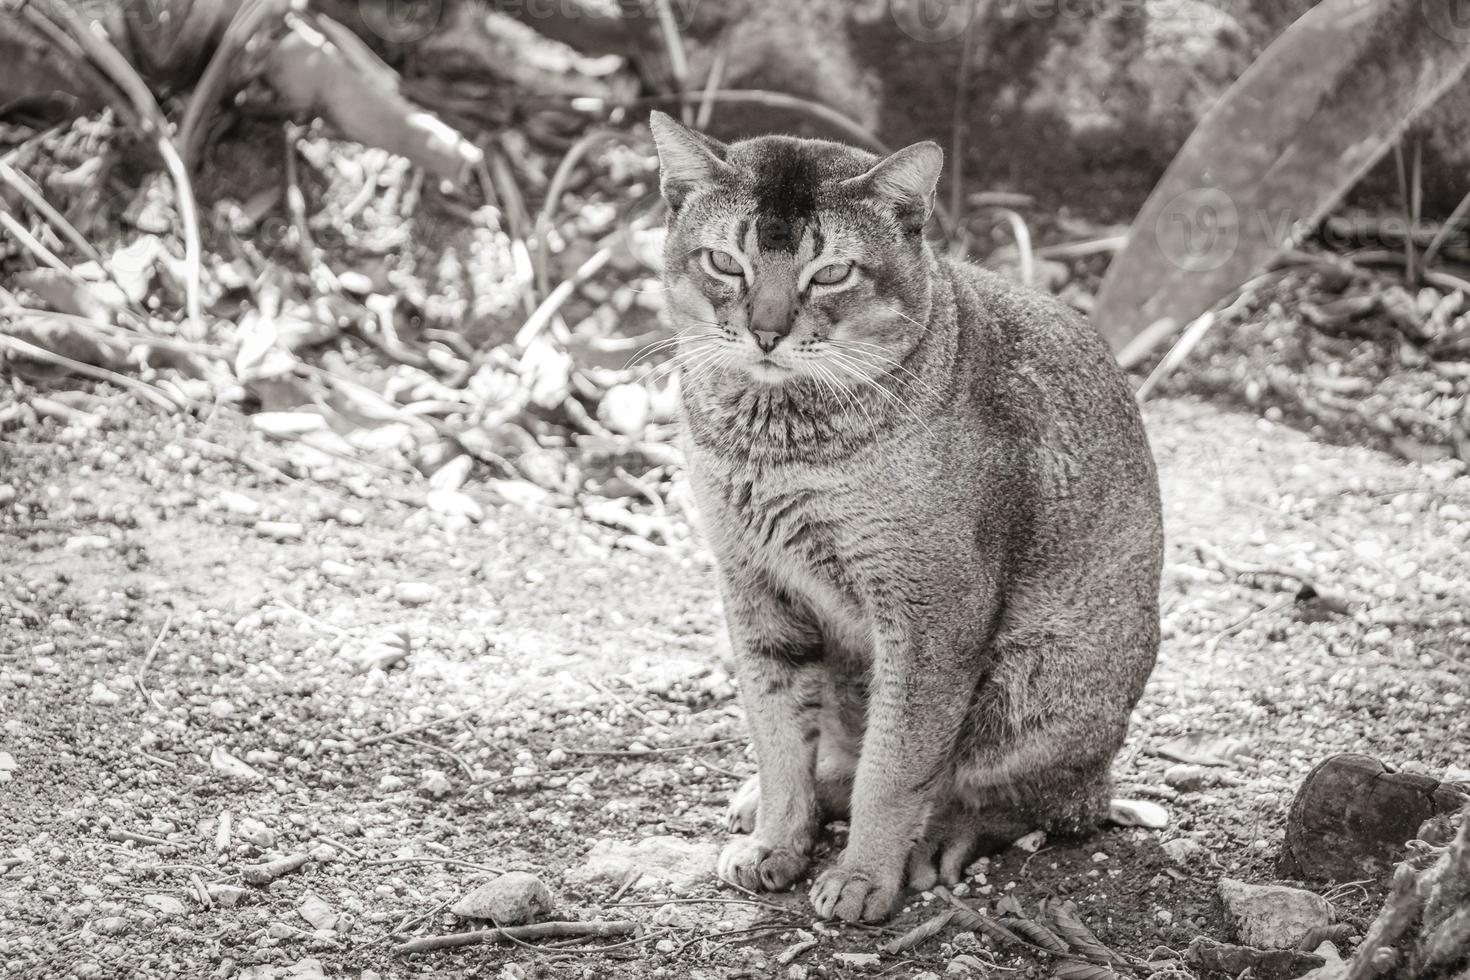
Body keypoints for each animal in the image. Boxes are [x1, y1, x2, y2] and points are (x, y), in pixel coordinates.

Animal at [652, 110, 1158, 922]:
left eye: (831, 273)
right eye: (725, 263)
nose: (766, 331)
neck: (777, 447)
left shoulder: (930, 613)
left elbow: (895, 767)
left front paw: (864, 876)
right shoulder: (754, 585)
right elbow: (777, 736)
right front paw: (777, 840)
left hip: (1034, 683)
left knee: (1036, 803)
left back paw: (940, 839)